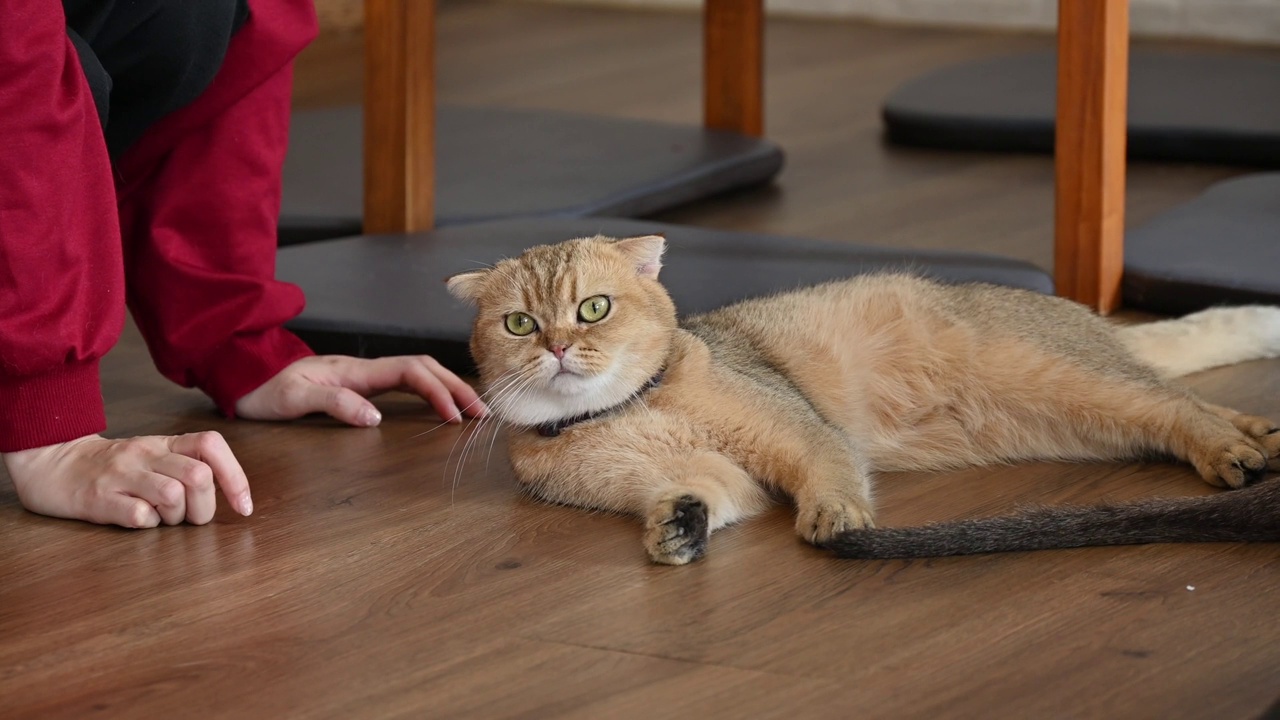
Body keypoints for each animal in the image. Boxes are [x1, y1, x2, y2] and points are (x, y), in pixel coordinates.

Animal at [445, 233, 1280, 563]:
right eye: (520, 323)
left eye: (592, 309)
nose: (557, 347)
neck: (625, 412)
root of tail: (1088, 317)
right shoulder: (698, 475)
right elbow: (697, 490)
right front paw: (674, 528)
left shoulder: (794, 429)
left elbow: (828, 464)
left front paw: (834, 513)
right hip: (1072, 422)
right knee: (1181, 402)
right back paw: (1258, 436)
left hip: (1058, 377)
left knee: (1175, 406)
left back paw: (1231, 452)